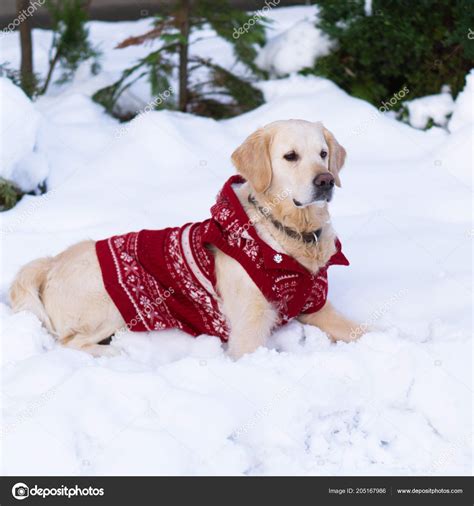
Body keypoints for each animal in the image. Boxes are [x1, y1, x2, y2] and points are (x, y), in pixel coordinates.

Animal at [9, 119, 362, 358]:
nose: (326, 181)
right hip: (107, 304)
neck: (289, 233)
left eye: (323, 153)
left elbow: (359, 329)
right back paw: (115, 352)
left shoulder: (315, 306)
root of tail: (50, 264)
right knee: (69, 341)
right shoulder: (247, 332)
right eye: (290, 156)